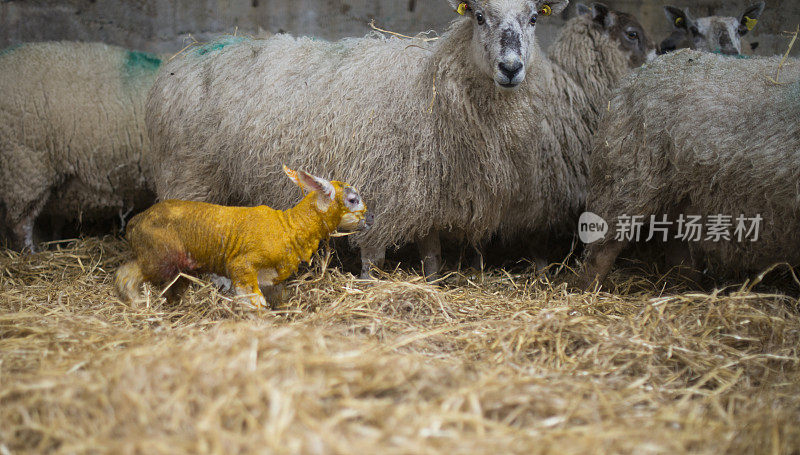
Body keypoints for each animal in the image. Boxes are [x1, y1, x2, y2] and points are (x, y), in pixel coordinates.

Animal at [147, 0, 652, 280]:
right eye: (480, 16)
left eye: (533, 18)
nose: (511, 68)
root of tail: (186, 56)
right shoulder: (386, 185)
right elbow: (373, 256)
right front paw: (372, 286)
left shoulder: (431, 190)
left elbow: (433, 252)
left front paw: (435, 281)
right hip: (191, 173)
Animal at [580, 49, 800, 284]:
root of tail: (637, 74)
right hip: (628, 180)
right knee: (601, 251)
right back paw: (589, 287)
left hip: (679, 195)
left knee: (677, 246)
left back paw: (688, 285)